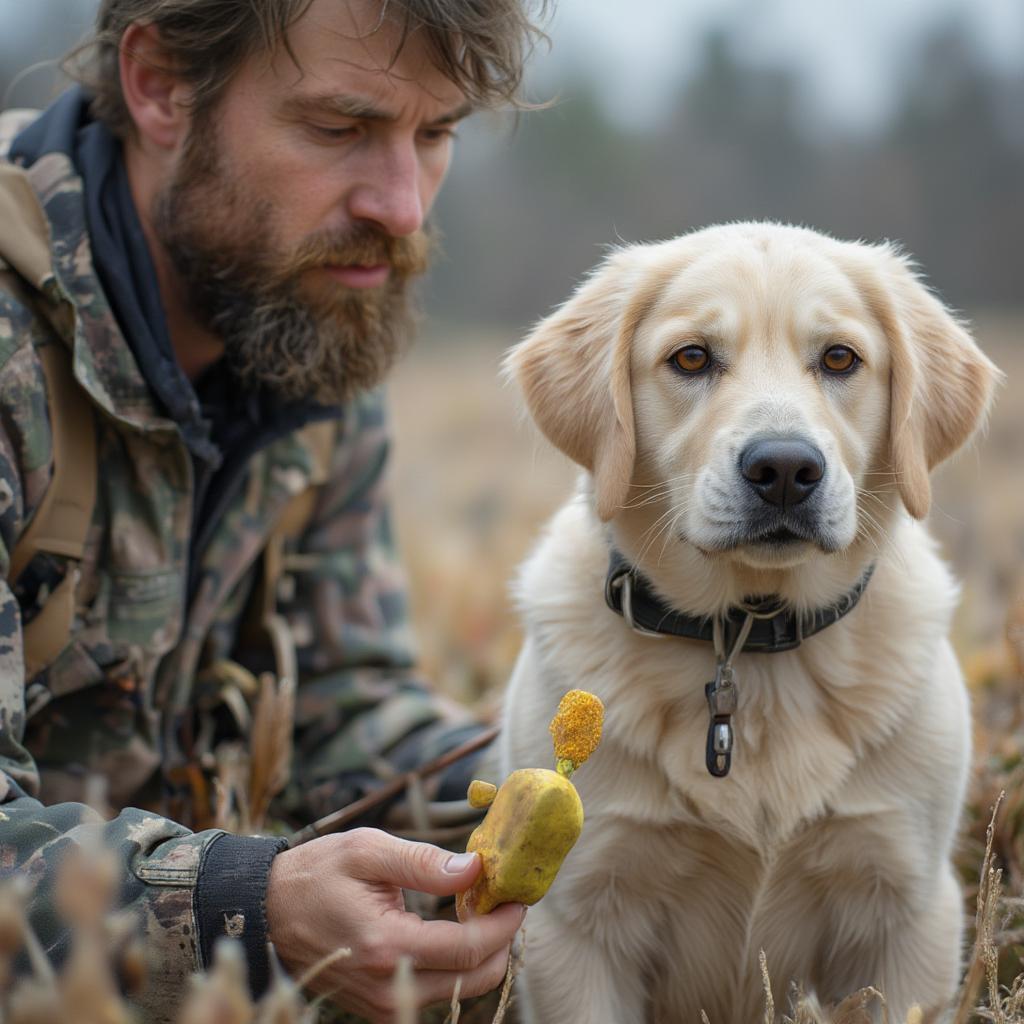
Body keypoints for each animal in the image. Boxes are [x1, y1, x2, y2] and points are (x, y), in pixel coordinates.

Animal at [501, 226, 999, 1024]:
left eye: (840, 359)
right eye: (691, 358)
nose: (786, 469)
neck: (748, 636)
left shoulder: (907, 912)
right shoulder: (576, 921)